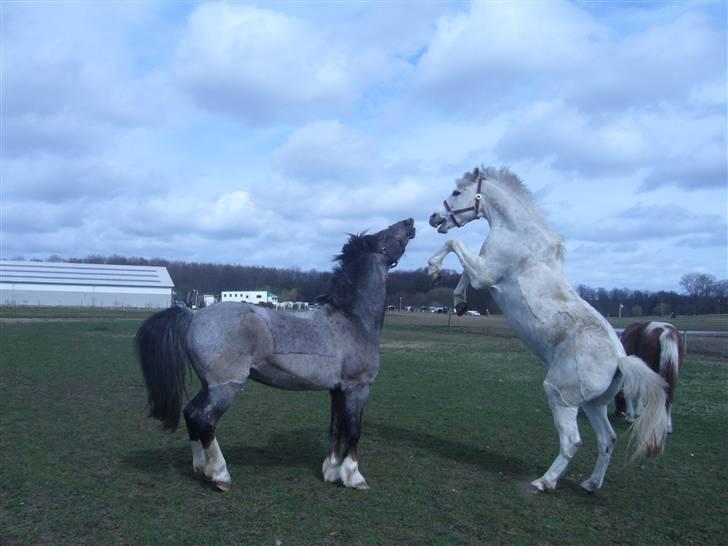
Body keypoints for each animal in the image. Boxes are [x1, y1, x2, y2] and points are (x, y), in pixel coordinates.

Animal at [136, 219, 416, 490]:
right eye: (383, 234)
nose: (410, 222)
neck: (352, 320)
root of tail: (194, 315)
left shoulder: (337, 390)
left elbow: (336, 429)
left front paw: (331, 472)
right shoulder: (358, 388)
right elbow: (354, 431)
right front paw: (354, 477)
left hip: (210, 385)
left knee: (191, 414)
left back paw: (200, 469)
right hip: (226, 387)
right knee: (202, 419)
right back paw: (219, 475)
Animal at [426, 166, 672, 492]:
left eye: (456, 192)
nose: (434, 217)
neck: (517, 234)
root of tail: (621, 359)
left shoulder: (486, 272)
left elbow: (455, 246)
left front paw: (433, 270)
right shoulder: (483, 270)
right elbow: (463, 268)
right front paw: (460, 301)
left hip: (560, 395)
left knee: (572, 441)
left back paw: (544, 481)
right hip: (593, 405)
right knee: (607, 439)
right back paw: (591, 484)